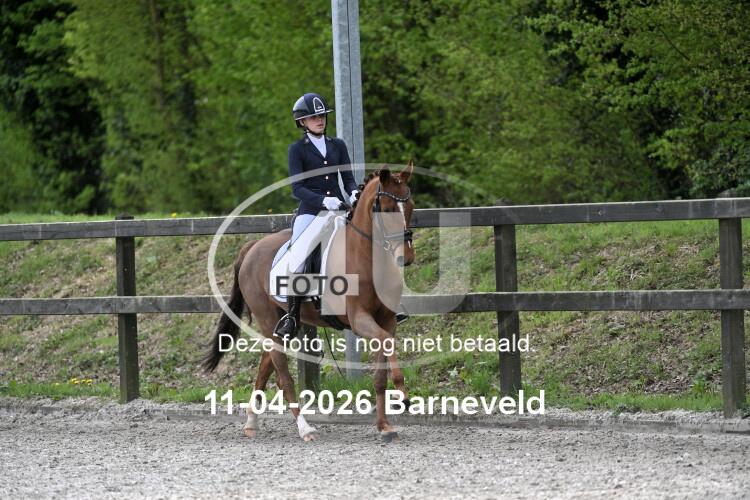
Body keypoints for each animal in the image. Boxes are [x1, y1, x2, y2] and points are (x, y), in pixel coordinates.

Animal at [202, 162, 415, 442]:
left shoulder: (387, 320)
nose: (406, 258)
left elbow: (381, 371)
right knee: (283, 376)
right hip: (266, 317)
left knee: (265, 364)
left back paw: (251, 422)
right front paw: (403, 394)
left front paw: (385, 426)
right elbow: (387, 343)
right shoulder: (359, 319)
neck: (366, 256)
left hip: (277, 327)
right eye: (388, 209)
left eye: (411, 206)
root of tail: (252, 247)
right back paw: (304, 428)